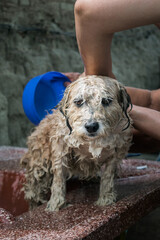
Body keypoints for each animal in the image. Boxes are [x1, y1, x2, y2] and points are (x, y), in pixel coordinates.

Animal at [21, 76, 132, 211]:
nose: (91, 126)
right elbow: (59, 177)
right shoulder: (61, 148)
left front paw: (106, 200)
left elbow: (108, 176)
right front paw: (56, 204)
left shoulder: (115, 152)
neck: (90, 142)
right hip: (39, 164)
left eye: (106, 101)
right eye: (79, 102)